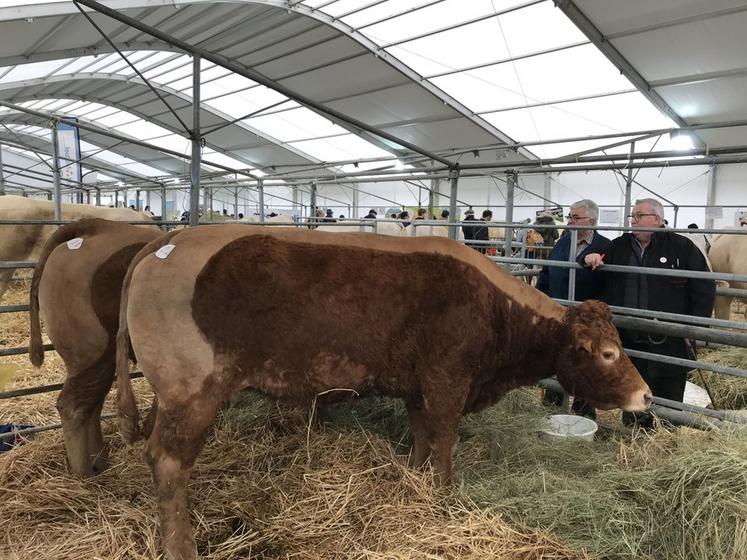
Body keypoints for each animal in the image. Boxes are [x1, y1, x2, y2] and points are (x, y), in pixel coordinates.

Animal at [30, 219, 161, 476]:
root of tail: (95, 226)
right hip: (92, 352)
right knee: (73, 406)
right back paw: (84, 473)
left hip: (100, 359)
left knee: (91, 406)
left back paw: (98, 461)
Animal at [114, 226, 652, 560]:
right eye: (608, 353)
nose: (646, 396)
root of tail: (171, 238)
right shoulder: (448, 379)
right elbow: (445, 439)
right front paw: (443, 495)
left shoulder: (419, 384)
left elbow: (421, 437)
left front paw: (413, 481)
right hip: (192, 391)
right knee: (168, 461)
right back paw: (181, 546)